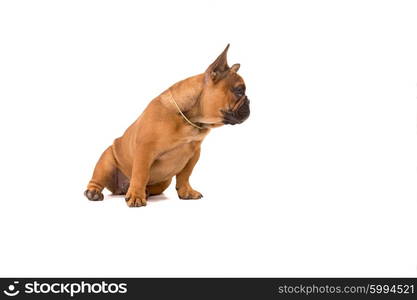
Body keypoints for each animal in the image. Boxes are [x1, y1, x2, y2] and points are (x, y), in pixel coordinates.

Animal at [83, 45, 249, 206]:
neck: (190, 121)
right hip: (106, 162)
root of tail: (120, 189)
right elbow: (140, 173)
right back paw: (94, 193)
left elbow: (185, 175)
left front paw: (186, 192)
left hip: (164, 181)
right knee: (98, 180)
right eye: (239, 91)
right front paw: (136, 196)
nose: (249, 102)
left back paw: (146, 192)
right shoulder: (145, 150)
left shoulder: (194, 153)